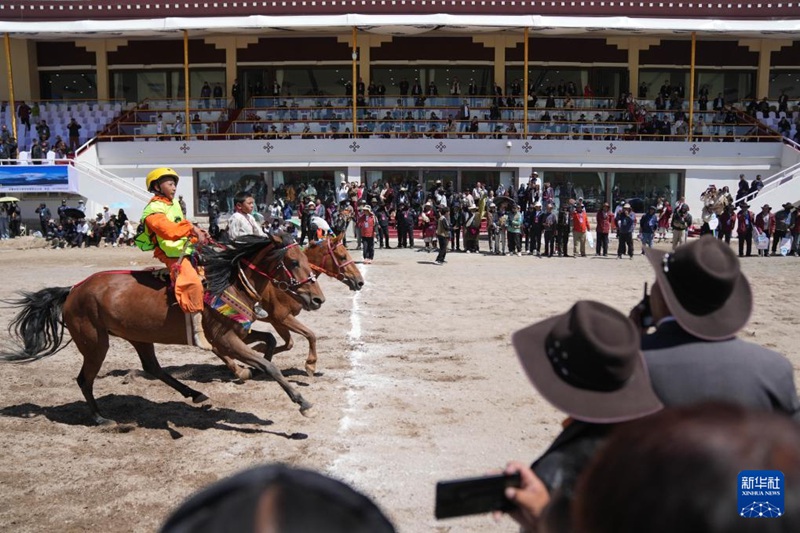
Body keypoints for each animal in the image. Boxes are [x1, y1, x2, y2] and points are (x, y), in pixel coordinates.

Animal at [1, 233, 324, 424]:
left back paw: (193, 394)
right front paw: (300, 400)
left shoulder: (238, 333)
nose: (317, 298)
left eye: (308, 260)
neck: (228, 281)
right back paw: (101, 419)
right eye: (293, 261)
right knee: (84, 379)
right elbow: (269, 363)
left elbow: (268, 341)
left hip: (138, 337)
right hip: (95, 343)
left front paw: (252, 369)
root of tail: (73, 290)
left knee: (152, 368)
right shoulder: (222, 338)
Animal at [214, 233, 360, 378]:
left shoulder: (277, 322)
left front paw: (259, 348)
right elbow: (310, 334)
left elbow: (289, 343)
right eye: (343, 257)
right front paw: (311, 364)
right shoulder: (282, 318)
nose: (360, 282)